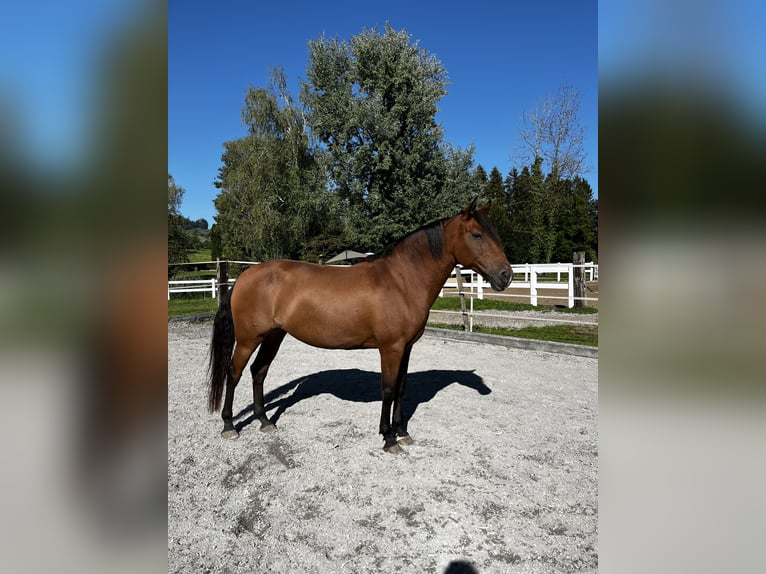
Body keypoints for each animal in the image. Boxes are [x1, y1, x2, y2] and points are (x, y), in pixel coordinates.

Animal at [207, 199, 513, 453]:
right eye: (477, 235)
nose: (506, 276)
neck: (401, 280)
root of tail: (245, 275)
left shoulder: (406, 348)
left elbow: (402, 388)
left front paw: (403, 433)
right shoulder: (390, 348)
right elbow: (388, 389)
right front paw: (388, 438)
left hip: (274, 335)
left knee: (259, 371)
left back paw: (265, 421)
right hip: (249, 338)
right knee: (234, 373)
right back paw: (229, 426)